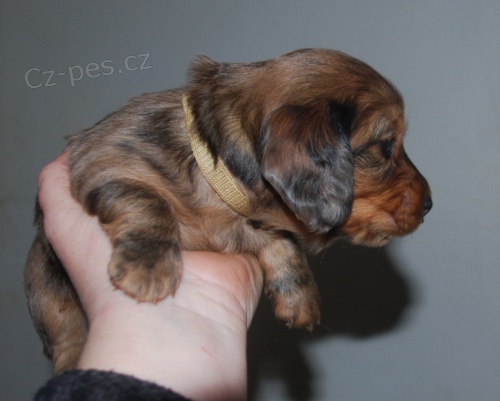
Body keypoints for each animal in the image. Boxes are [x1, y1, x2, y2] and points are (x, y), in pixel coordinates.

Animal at [25, 48, 432, 373]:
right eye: (386, 145)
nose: (430, 204)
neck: (214, 166)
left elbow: (282, 241)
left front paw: (299, 295)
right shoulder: (105, 160)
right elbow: (148, 201)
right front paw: (149, 265)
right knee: (66, 336)